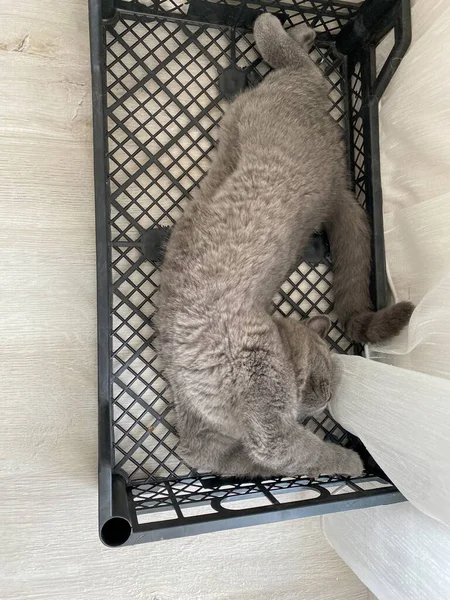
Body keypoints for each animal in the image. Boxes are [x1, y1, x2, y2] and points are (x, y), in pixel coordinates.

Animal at [156, 14, 414, 480]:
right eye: (323, 381)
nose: (328, 401)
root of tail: (337, 182)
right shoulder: (253, 424)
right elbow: (301, 451)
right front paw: (348, 460)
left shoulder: (202, 441)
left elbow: (250, 460)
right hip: (280, 99)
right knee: (296, 60)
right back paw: (296, 31)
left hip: (268, 101)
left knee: (293, 61)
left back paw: (299, 33)